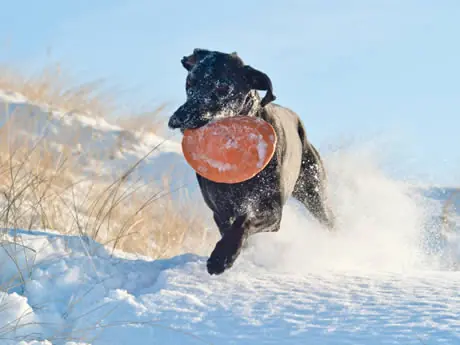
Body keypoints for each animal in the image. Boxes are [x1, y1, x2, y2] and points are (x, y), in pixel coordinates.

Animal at [169, 49, 334, 274]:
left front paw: (221, 257)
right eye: (190, 83)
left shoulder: (271, 209)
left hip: (314, 193)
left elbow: (243, 223)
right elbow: (231, 228)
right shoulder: (221, 211)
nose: (179, 119)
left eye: (223, 87)